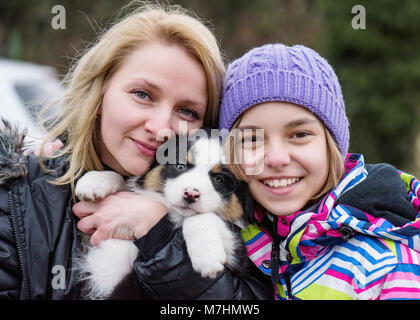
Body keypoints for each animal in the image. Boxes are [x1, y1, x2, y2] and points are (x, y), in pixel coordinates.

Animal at [74, 131, 253, 298]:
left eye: (219, 179)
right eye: (180, 166)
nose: (190, 194)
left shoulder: (237, 257)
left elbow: (201, 217)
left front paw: (207, 257)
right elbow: (124, 179)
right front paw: (94, 182)